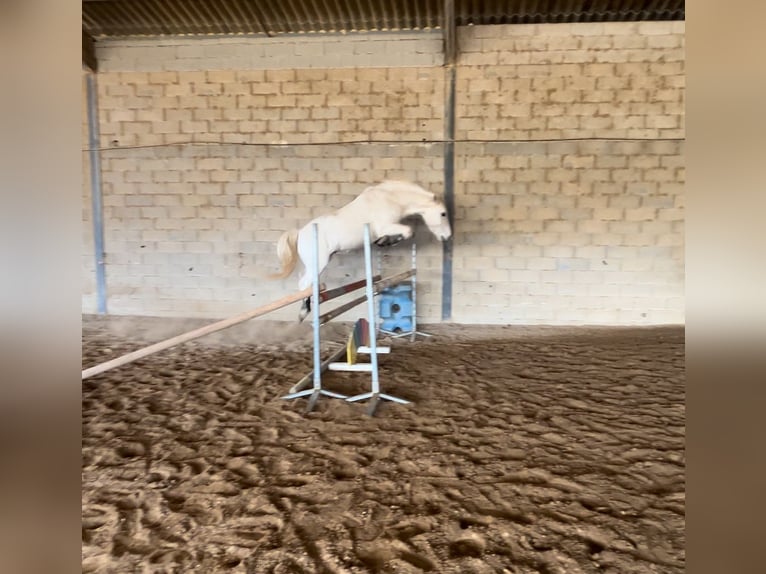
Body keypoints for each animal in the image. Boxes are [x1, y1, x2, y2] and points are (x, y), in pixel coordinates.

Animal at [272, 181, 452, 320]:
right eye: (443, 214)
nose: (447, 236)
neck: (390, 199)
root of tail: (300, 232)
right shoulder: (385, 226)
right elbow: (409, 231)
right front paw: (385, 242)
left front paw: (383, 241)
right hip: (318, 262)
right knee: (304, 283)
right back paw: (304, 312)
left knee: (305, 283)